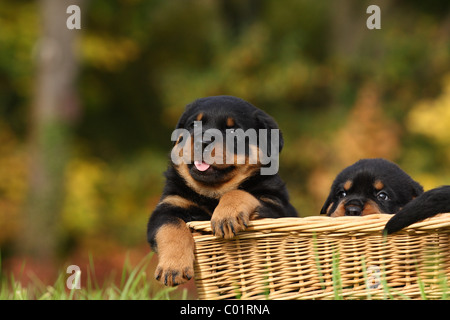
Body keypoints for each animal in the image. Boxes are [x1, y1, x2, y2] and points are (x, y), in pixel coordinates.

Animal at [146, 95, 298, 284]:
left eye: (233, 132)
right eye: (193, 125)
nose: (203, 142)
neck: (212, 194)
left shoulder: (276, 205)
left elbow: (238, 192)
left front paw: (226, 216)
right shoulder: (168, 206)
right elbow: (170, 228)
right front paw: (173, 268)